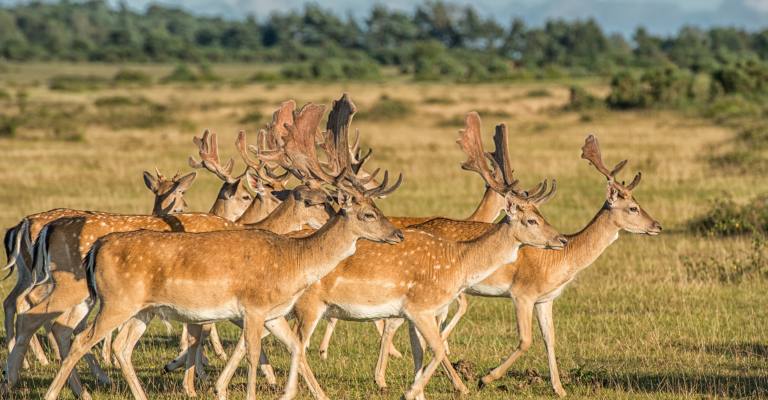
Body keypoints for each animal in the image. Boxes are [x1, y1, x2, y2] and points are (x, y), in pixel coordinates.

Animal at [2, 169, 195, 369]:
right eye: (181, 192)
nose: (183, 208)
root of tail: (23, 224)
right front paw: (110, 358)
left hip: (27, 274)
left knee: (12, 301)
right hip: (46, 276)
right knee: (29, 303)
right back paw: (41, 359)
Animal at [43, 96, 405, 400]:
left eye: (377, 208)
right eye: (368, 213)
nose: (398, 234)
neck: (293, 261)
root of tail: (96, 249)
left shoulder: (274, 314)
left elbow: (296, 348)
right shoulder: (254, 308)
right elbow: (253, 354)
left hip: (142, 309)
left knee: (120, 346)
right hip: (114, 301)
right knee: (78, 338)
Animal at [372, 134, 662, 397]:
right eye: (633, 207)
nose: (657, 225)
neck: (561, 262)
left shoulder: (546, 299)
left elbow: (550, 339)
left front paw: (560, 389)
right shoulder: (522, 293)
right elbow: (525, 340)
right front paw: (486, 379)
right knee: (404, 326)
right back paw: (432, 383)